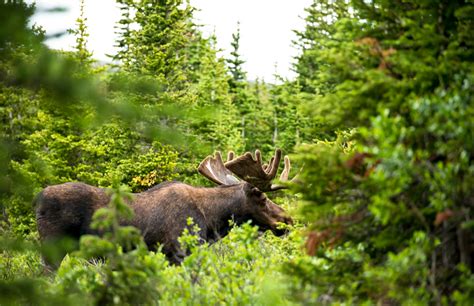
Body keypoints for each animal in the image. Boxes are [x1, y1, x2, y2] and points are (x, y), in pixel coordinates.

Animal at [35, 149, 292, 264]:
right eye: (262, 197)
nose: (288, 219)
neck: (212, 221)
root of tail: (36, 199)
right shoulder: (179, 251)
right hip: (52, 246)